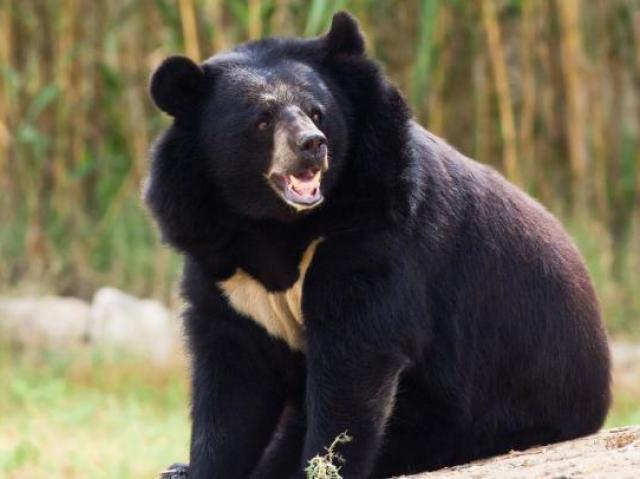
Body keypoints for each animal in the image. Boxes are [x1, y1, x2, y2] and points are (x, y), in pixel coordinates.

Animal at [145, 11, 608, 479]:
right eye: (261, 120)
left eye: (317, 113)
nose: (312, 146)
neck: (276, 224)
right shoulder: (220, 263)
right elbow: (232, 382)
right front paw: (200, 466)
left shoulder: (374, 238)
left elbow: (353, 363)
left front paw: (321, 466)